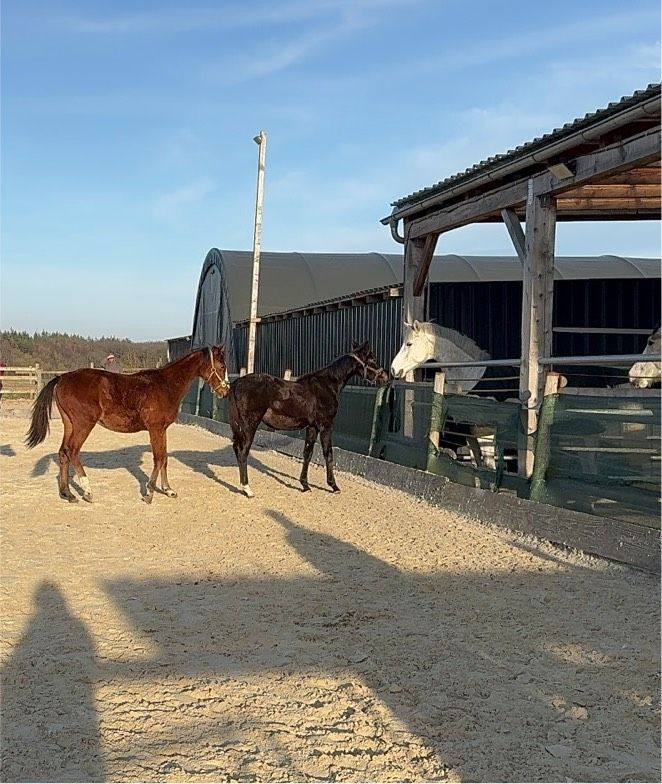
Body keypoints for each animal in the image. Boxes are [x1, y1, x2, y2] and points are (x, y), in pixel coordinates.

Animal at [26, 346, 231, 506]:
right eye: (222, 366)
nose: (226, 391)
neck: (166, 385)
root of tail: (62, 378)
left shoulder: (162, 429)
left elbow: (164, 458)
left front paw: (168, 490)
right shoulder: (155, 429)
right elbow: (158, 459)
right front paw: (149, 494)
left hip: (69, 424)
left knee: (63, 452)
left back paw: (68, 494)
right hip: (83, 424)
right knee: (73, 451)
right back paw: (88, 492)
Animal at [231, 338, 392, 496]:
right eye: (373, 359)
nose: (386, 377)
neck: (327, 385)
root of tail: (237, 383)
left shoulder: (312, 427)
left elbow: (307, 453)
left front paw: (305, 485)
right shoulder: (325, 425)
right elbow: (328, 453)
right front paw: (334, 486)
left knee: (237, 449)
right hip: (250, 425)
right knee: (243, 451)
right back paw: (247, 488)